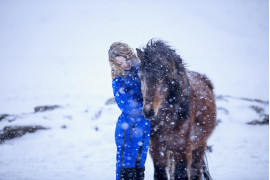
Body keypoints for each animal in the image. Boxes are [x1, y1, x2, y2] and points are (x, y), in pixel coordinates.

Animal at [136, 39, 216, 180]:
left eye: (164, 77)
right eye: (141, 77)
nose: (148, 111)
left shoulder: (183, 152)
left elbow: (181, 175)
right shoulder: (157, 151)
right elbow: (160, 175)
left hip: (200, 146)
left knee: (196, 171)